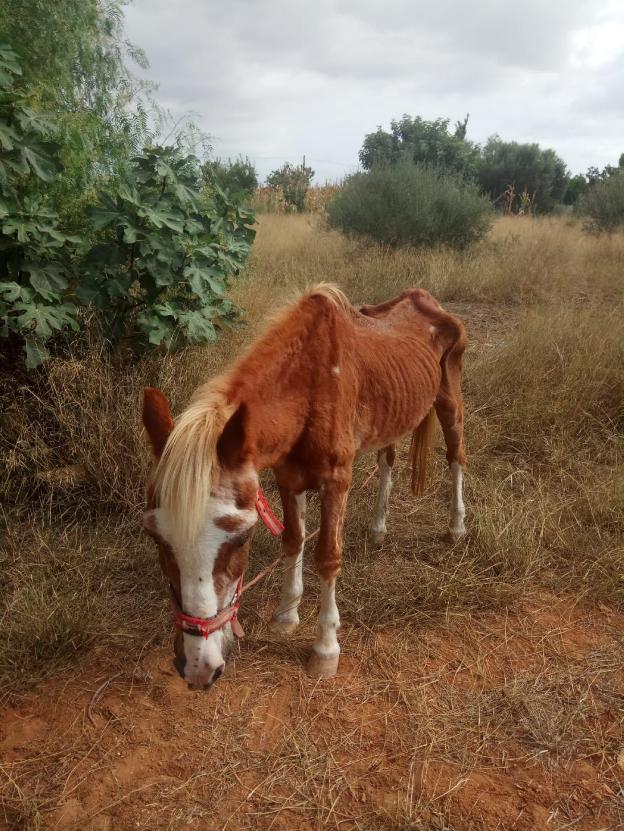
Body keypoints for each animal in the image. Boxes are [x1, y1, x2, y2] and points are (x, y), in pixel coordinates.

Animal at [140, 284, 464, 688]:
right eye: (156, 537)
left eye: (242, 539)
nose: (199, 668)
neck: (309, 385)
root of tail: (426, 298)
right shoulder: (287, 476)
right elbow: (294, 539)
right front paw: (286, 615)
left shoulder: (336, 480)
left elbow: (327, 556)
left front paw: (325, 648)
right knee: (387, 460)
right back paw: (378, 529)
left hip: (449, 399)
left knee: (456, 455)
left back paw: (457, 527)